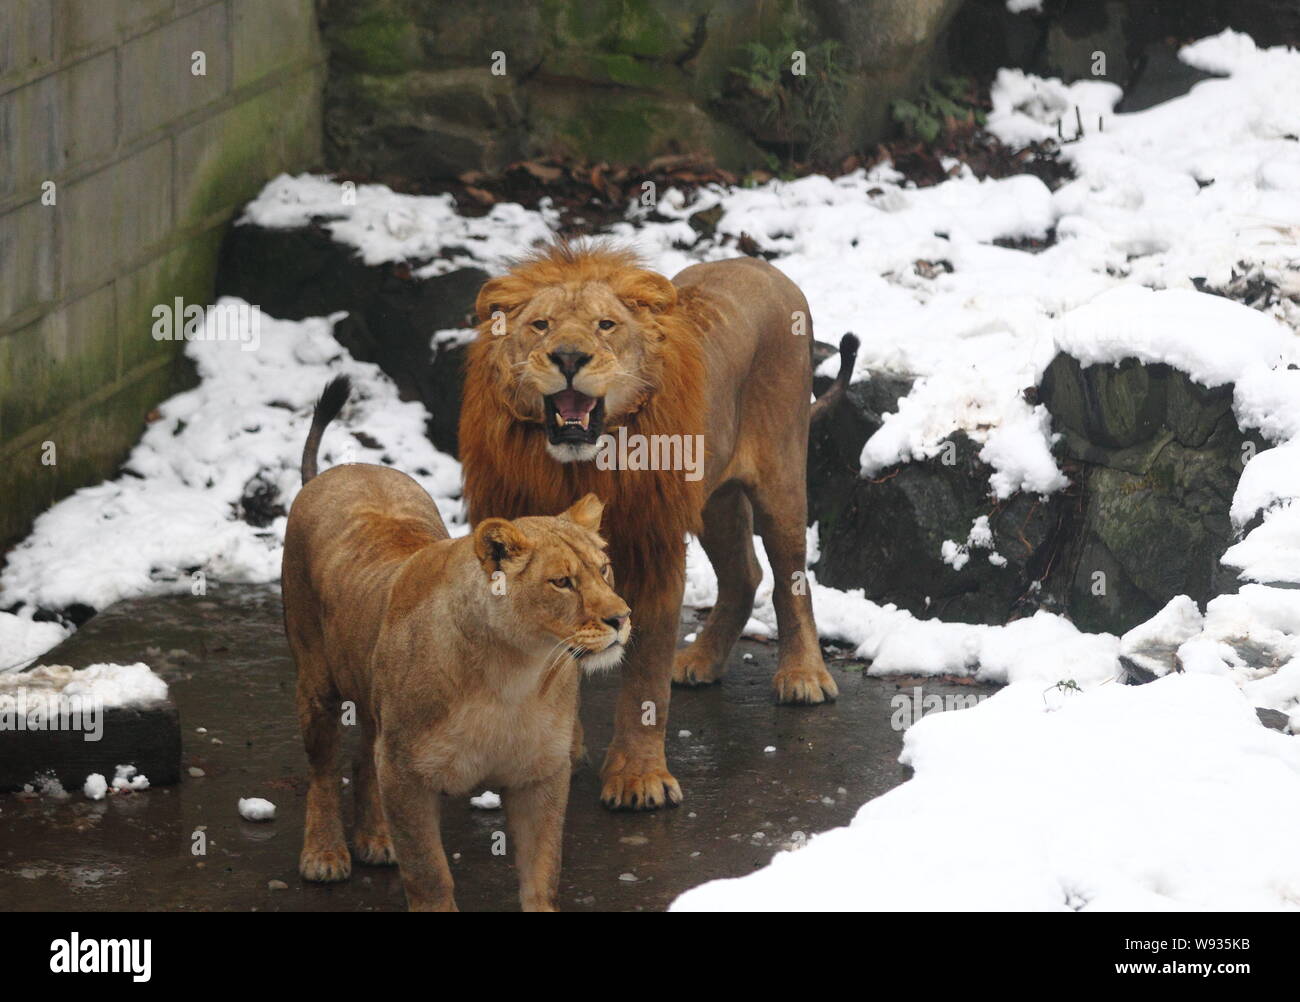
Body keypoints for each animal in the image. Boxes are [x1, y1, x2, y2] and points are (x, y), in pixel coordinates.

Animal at [283, 376, 630, 911]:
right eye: (562, 582)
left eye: (604, 569)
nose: (622, 618)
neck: (514, 673)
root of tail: (343, 469)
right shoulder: (406, 774)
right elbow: (429, 875)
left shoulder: (542, 774)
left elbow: (542, 873)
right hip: (316, 681)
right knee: (321, 769)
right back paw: (324, 853)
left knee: (363, 754)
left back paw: (376, 838)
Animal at [460, 243, 852, 812]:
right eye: (540, 325)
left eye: (605, 325)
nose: (569, 358)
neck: (578, 467)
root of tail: (761, 265)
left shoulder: (654, 549)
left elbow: (644, 680)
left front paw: (639, 780)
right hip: (715, 500)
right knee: (745, 574)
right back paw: (700, 662)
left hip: (780, 478)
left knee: (790, 578)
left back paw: (803, 676)